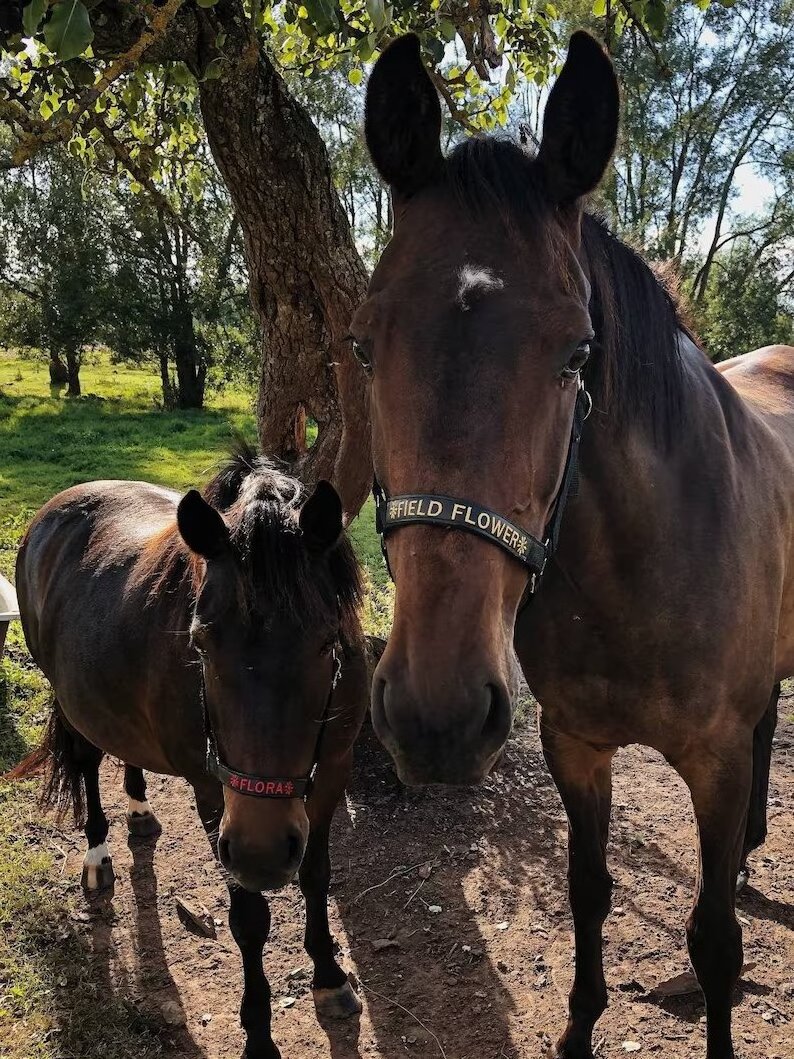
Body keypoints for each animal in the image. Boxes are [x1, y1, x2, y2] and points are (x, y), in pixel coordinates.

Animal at [11, 444, 370, 1059]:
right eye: (200, 642)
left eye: (328, 642)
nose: (260, 854)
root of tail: (55, 510)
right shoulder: (214, 795)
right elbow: (249, 918)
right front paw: (259, 1035)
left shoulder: (331, 774)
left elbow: (317, 876)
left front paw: (328, 978)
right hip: (70, 702)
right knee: (87, 764)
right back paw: (98, 857)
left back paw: (138, 810)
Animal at [357, 28, 794, 1059]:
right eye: (363, 345)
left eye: (576, 353)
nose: (435, 715)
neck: (637, 569)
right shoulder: (577, 744)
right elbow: (587, 890)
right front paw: (578, 1026)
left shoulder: (713, 762)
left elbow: (713, 939)